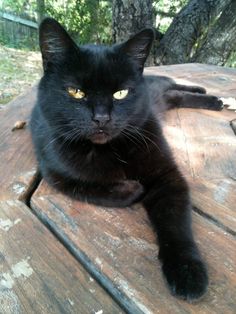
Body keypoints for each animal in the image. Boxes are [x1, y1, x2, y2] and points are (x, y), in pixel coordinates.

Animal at [30, 18, 223, 300]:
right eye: (76, 92)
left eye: (120, 93)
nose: (101, 118)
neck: (108, 150)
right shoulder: (54, 171)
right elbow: (89, 187)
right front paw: (132, 188)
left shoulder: (166, 174)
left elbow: (175, 224)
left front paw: (187, 271)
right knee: (175, 94)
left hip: (157, 86)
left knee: (174, 83)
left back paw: (210, 95)